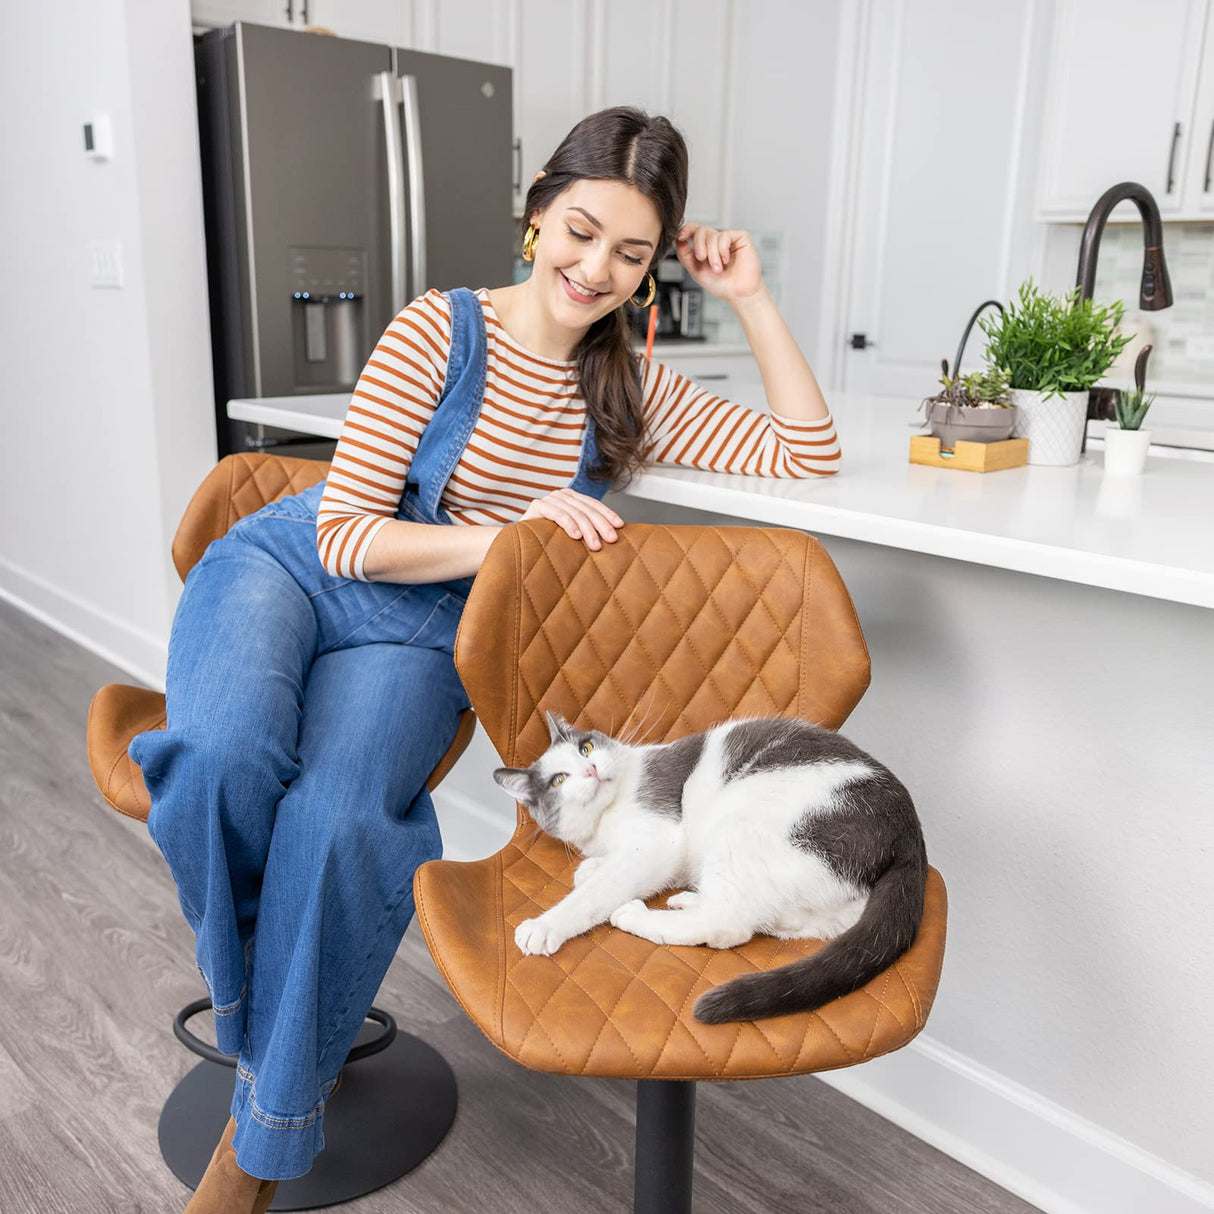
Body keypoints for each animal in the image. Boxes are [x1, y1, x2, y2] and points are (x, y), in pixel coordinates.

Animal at [492, 708, 927, 1024]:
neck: (604, 822)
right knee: (760, 918)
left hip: (742, 819)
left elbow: (594, 895)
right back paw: (690, 899)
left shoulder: (657, 843)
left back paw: (639, 915)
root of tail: (909, 831)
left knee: (729, 923)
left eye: (585, 749)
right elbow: (595, 871)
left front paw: (546, 925)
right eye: (558, 780)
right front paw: (589, 869)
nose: (592, 769)